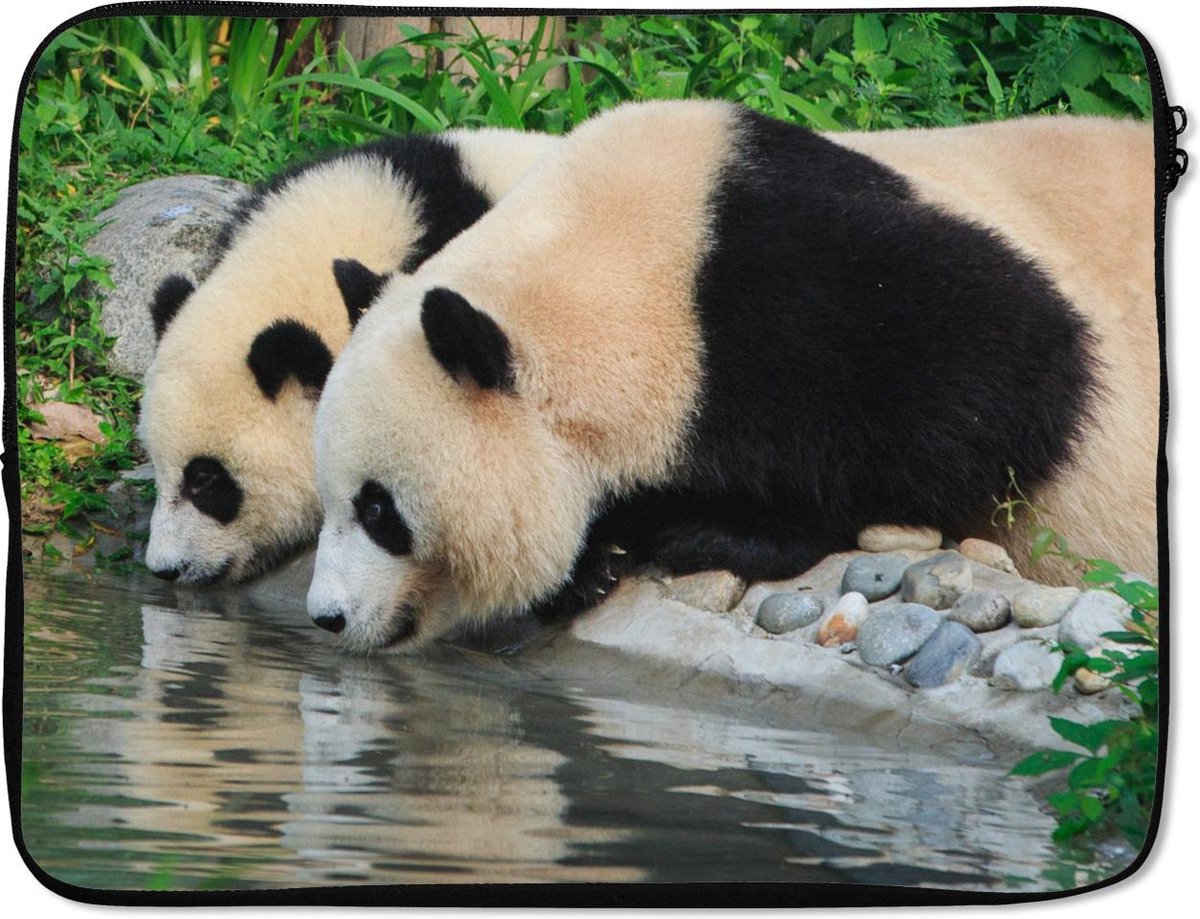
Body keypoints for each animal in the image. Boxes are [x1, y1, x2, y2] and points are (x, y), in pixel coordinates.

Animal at [306, 99, 1156, 653]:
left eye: (379, 510)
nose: (326, 616)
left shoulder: (800, 282)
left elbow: (1008, 380)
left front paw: (699, 527)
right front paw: (596, 558)